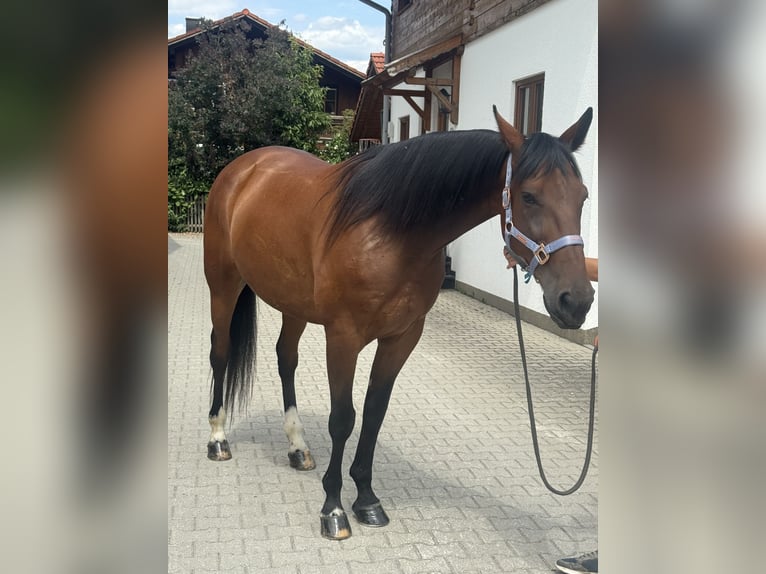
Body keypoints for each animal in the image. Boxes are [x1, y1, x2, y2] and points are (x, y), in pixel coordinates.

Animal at [202, 106, 595, 540]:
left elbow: (374, 413)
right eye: (529, 196)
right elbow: (343, 419)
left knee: (286, 359)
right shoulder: (343, 337)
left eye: (583, 197)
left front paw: (366, 499)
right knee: (220, 353)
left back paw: (297, 446)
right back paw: (218, 438)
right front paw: (333, 509)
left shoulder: (402, 337)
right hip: (223, 286)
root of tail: (243, 168)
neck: (390, 233)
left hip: (294, 304)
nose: (576, 301)